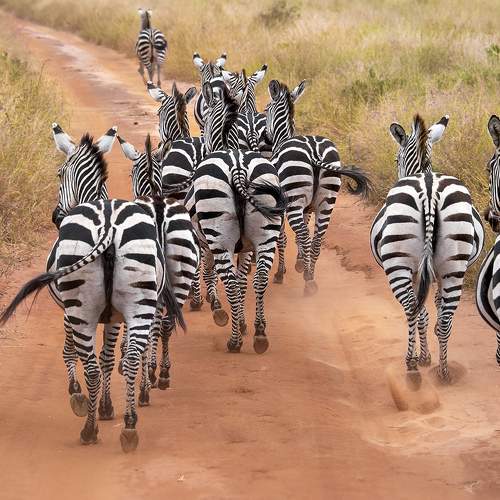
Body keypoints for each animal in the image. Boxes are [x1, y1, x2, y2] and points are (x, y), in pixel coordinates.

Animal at [118, 133, 200, 389]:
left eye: (130, 174)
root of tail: (159, 207)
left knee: (155, 321)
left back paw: (153, 372)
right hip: (182, 271)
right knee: (166, 321)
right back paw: (163, 373)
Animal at [185, 81, 287, 353]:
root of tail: (238, 168)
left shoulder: (205, 243)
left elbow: (210, 272)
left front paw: (219, 312)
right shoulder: (247, 248)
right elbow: (243, 282)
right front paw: (242, 323)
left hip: (219, 237)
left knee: (229, 282)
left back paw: (234, 341)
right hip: (265, 235)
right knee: (259, 279)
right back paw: (260, 334)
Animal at [265, 79, 370, 295]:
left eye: (266, 109)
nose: (265, 135)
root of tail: (314, 152)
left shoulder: (281, 206)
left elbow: (283, 238)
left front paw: (280, 273)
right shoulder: (307, 208)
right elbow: (299, 235)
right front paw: (299, 263)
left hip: (295, 203)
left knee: (306, 237)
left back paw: (308, 281)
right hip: (326, 203)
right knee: (317, 239)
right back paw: (310, 275)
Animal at [370, 114, 484, 383]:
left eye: (396, 159)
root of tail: (430, 189)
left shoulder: (415, 272)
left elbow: (422, 310)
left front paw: (423, 356)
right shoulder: (437, 272)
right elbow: (438, 305)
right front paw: (431, 353)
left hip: (398, 265)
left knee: (412, 309)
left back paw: (411, 364)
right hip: (455, 266)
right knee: (445, 319)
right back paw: (443, 370)